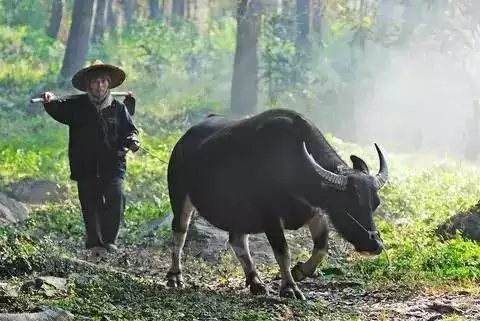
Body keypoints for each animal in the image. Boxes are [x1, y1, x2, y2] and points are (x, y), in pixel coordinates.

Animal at [165, 108, 386, 300]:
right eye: (348, 205)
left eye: (375, 204)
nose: (375, 245)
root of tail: (182, 141)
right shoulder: (270, 217)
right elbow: (283, 252)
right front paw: (289, 288)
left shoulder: (316, 213)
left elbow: (321, 248)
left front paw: (299, 272)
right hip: (180, 197)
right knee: (180, 234)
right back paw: (175, 276)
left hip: (238, 213)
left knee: (237, 241)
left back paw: (255, 282)